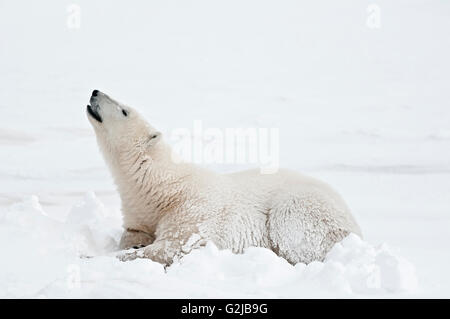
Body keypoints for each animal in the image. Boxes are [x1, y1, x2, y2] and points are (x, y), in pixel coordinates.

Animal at [87, 90, 362, 268]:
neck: (162, 189)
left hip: (305, 206)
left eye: (124, 110)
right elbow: (133, 234)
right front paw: (131, 246)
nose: (95, 92)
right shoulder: (140, 211)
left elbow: (174, 246)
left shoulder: (192, 212)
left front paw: (94, 258)